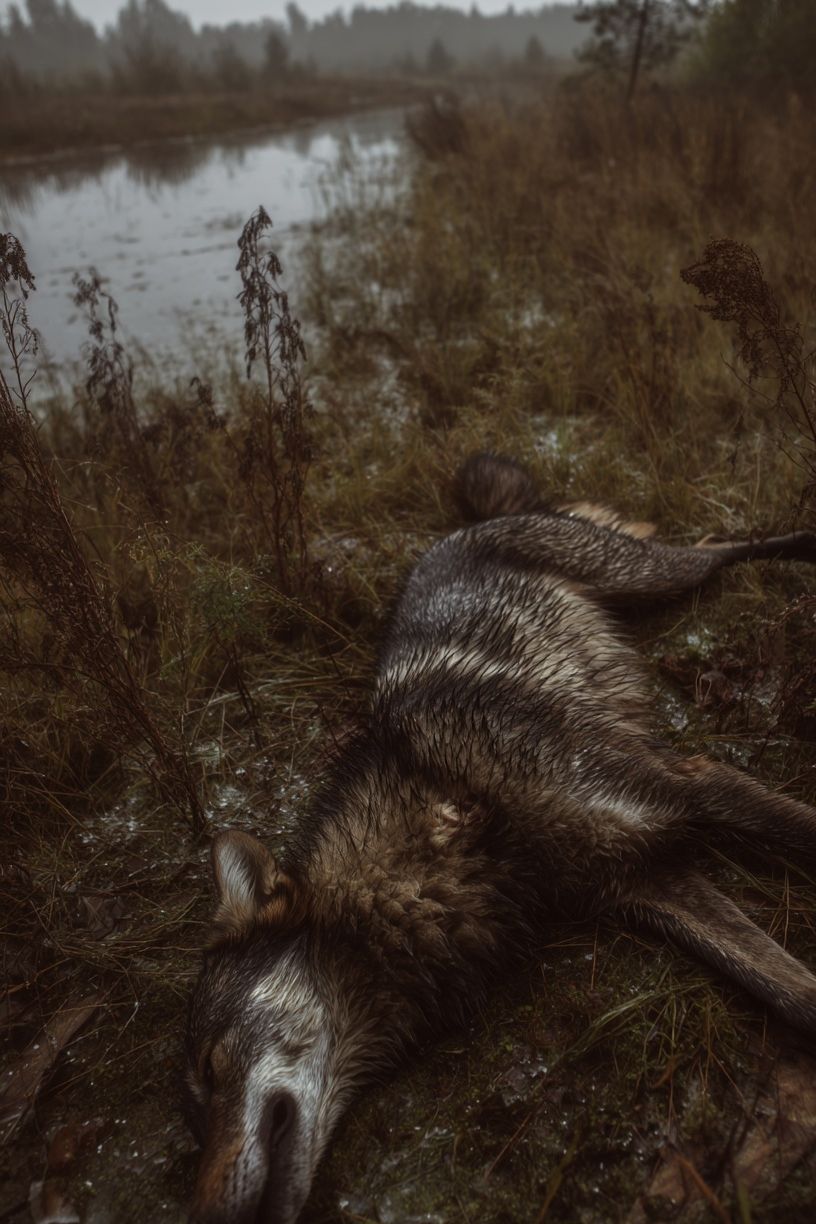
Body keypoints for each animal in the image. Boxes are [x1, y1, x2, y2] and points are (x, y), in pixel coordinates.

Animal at [184, 453, 816, 1224]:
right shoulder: (652, 878)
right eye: (193, 1110)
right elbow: (792, 992)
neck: (449, 815)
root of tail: (463, 529)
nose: (199, 1212)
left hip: (656, 573)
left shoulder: (687, 783)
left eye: (212, 1068)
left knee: (728, 545)